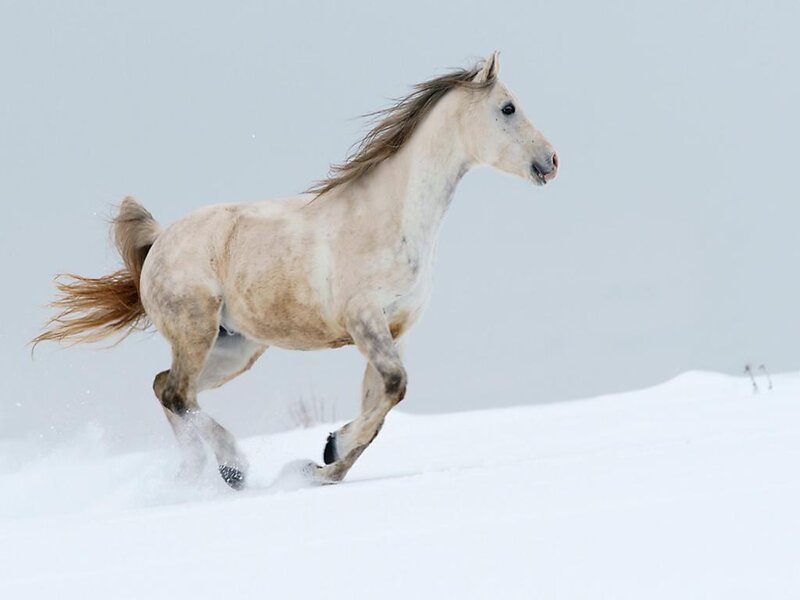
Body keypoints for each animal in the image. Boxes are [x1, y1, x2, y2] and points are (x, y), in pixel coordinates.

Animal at [33, 51, 558, 489]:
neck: (391, 216)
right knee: (178, 394)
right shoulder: (364, 321)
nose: (551, 161)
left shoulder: (394, 330)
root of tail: (161, 240)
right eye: (508, 108)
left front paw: (320, 467)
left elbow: (381, 403)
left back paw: (193, 475)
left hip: (235, 349)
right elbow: (395, 387)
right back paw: (232, 468)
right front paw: (328, 450)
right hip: (196, 332)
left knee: (167, 388)